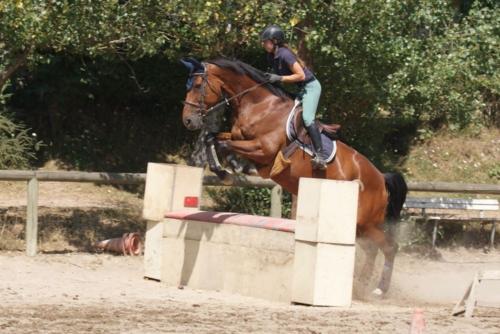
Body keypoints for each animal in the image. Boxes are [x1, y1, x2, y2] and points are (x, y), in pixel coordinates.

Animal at [180, 57, 406, 294]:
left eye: (197, 86)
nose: (187, 121)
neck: (259, 106)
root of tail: (381, 178)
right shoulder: (238, 138)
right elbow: (212, 139)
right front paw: (223, 170)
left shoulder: (263, 149)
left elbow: (222, 145)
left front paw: (229, 169)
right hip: (358, 228)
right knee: (373, 249)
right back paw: (362, 285)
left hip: (367, 224)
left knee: (390, 247)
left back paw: (379, 289)